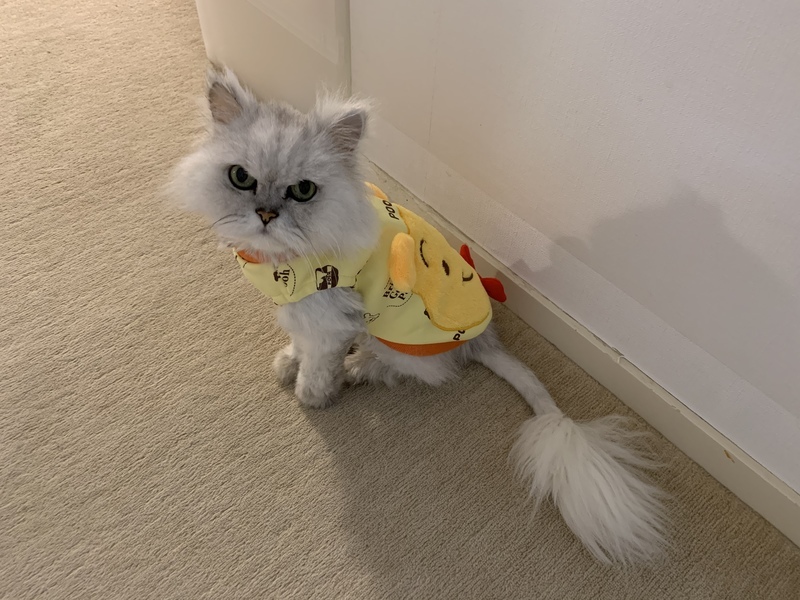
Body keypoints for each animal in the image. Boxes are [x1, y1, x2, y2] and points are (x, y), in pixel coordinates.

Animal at [168, 67, 667, 564]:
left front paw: (312, 397)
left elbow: (317, 368)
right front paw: (287, 364)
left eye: (303, 191)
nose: (266, 214)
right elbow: (298, 345)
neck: (284, 261)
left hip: (395, 337)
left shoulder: (330, 321)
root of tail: (482, 337)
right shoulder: (302, 313)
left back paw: (357, 368)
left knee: (420, 371)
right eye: (240, 178)